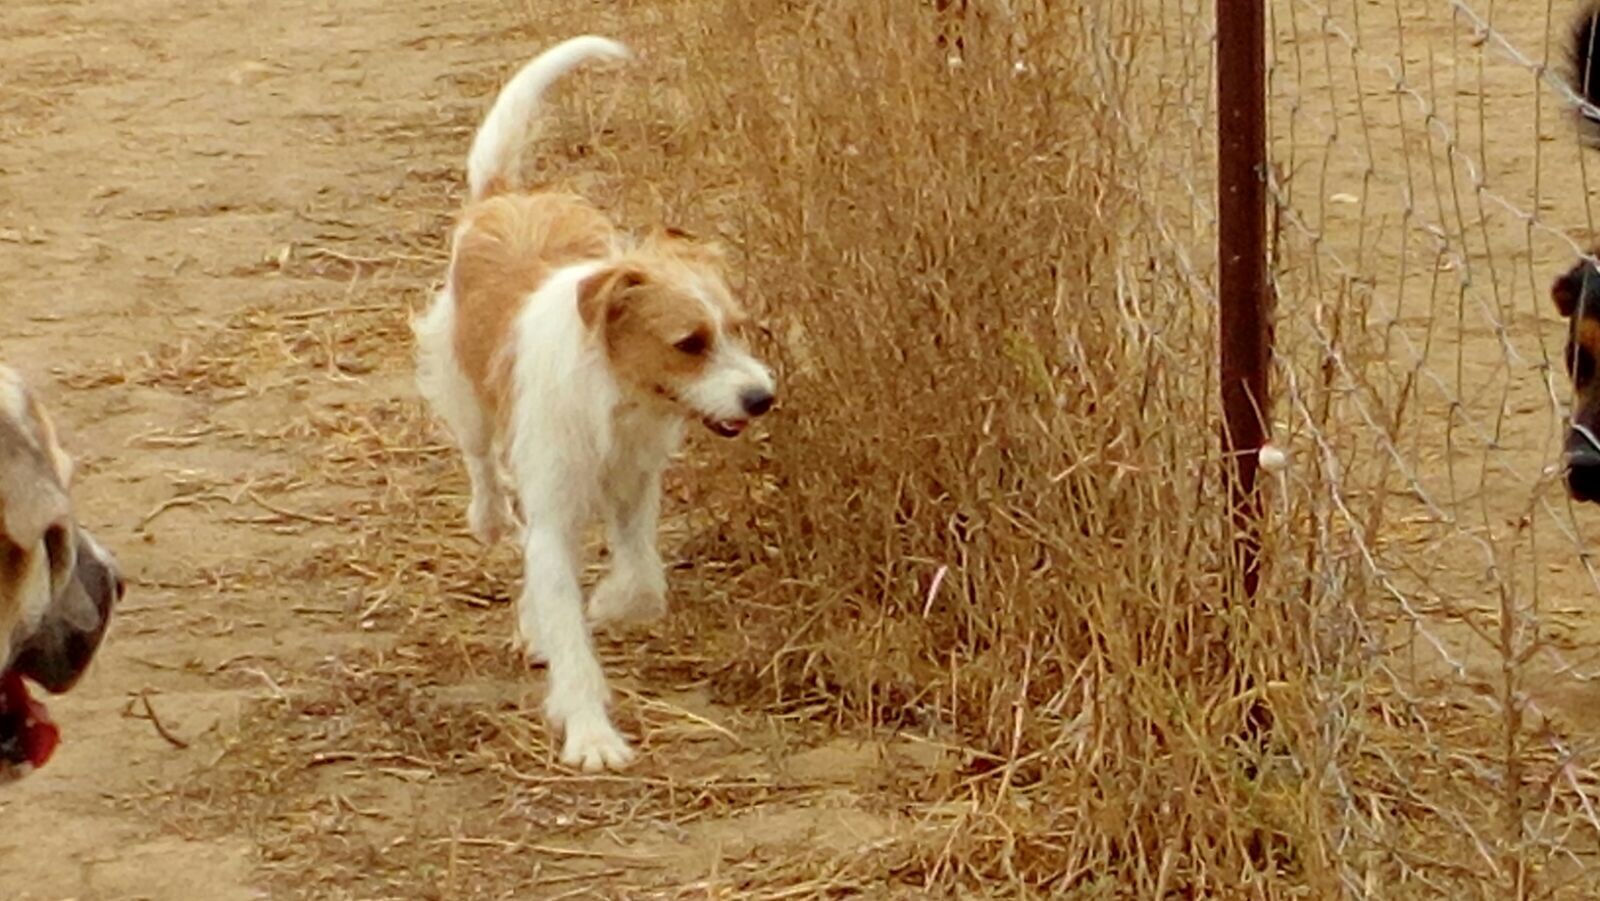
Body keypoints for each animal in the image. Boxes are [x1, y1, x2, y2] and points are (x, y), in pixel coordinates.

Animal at [414, 37, 776, 770]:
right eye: (690, 342)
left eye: (738, 328)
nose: (762, 398)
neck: (615, 396)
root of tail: (506, 197)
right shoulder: (553, 510)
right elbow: (568, 627)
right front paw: (591, 734)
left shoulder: (633, 489)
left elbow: (641, 581)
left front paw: (605, 603)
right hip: (464, 391)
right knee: (481, 465)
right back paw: (489, 518)